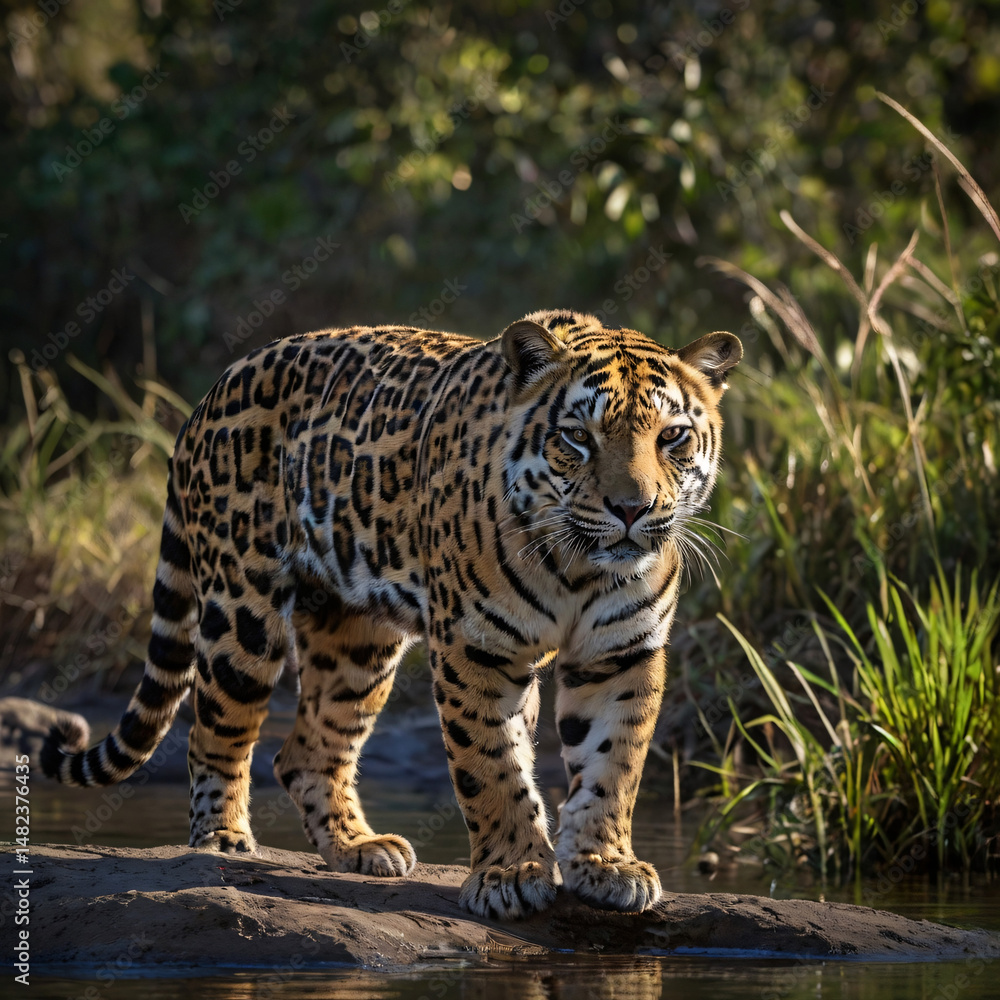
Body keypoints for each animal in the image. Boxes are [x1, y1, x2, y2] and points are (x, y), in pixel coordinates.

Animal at [42, 309, 741, 920]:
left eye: (672, 437)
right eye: (577, 437)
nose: (631, 509)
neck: (579, 567)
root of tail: (212, 390)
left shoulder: (620, 654)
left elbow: (613, 764)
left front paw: (606, 865)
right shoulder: (476, 648)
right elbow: (492, 768)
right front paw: (511, 873)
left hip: (357, 642)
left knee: (305, 752)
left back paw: (359, 848)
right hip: (242, 617)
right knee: (215, 731)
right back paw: (222, 839)